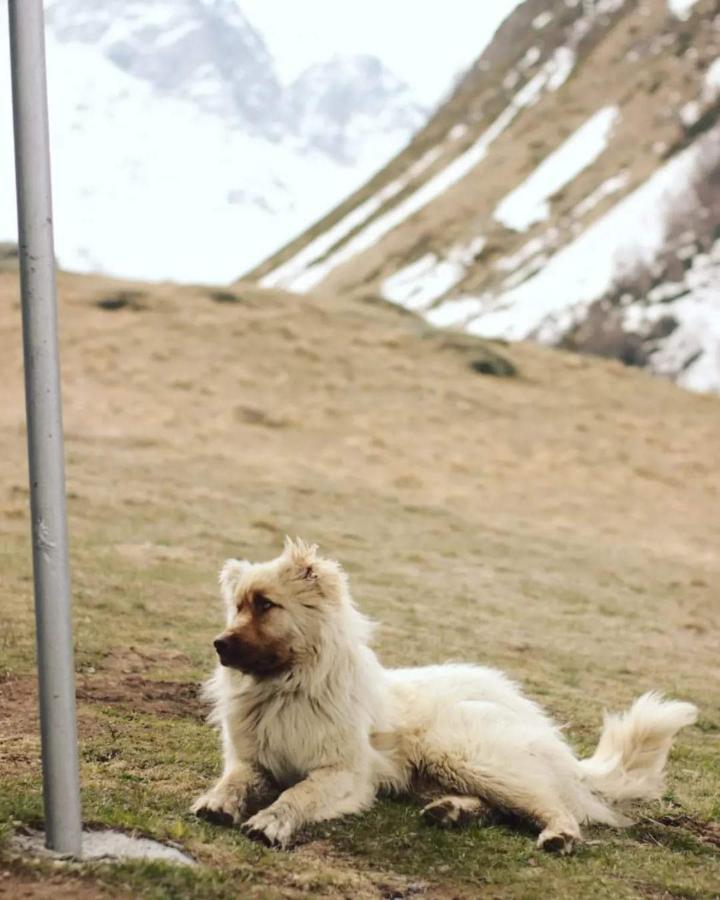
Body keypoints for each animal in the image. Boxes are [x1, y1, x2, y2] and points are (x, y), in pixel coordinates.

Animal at [191, 536, 696, 856]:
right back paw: (452, 811)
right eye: (238, 606)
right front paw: (217, 803)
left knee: (551, 803)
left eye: (266, 605)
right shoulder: (251, 761)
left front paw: (271, 821)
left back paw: (557, 835)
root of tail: (520, 705)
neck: (288, 687)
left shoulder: (341, 773)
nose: (218, 644)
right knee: (498, 805)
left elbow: (299, 794)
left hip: (460, 752)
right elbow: (233, 781)